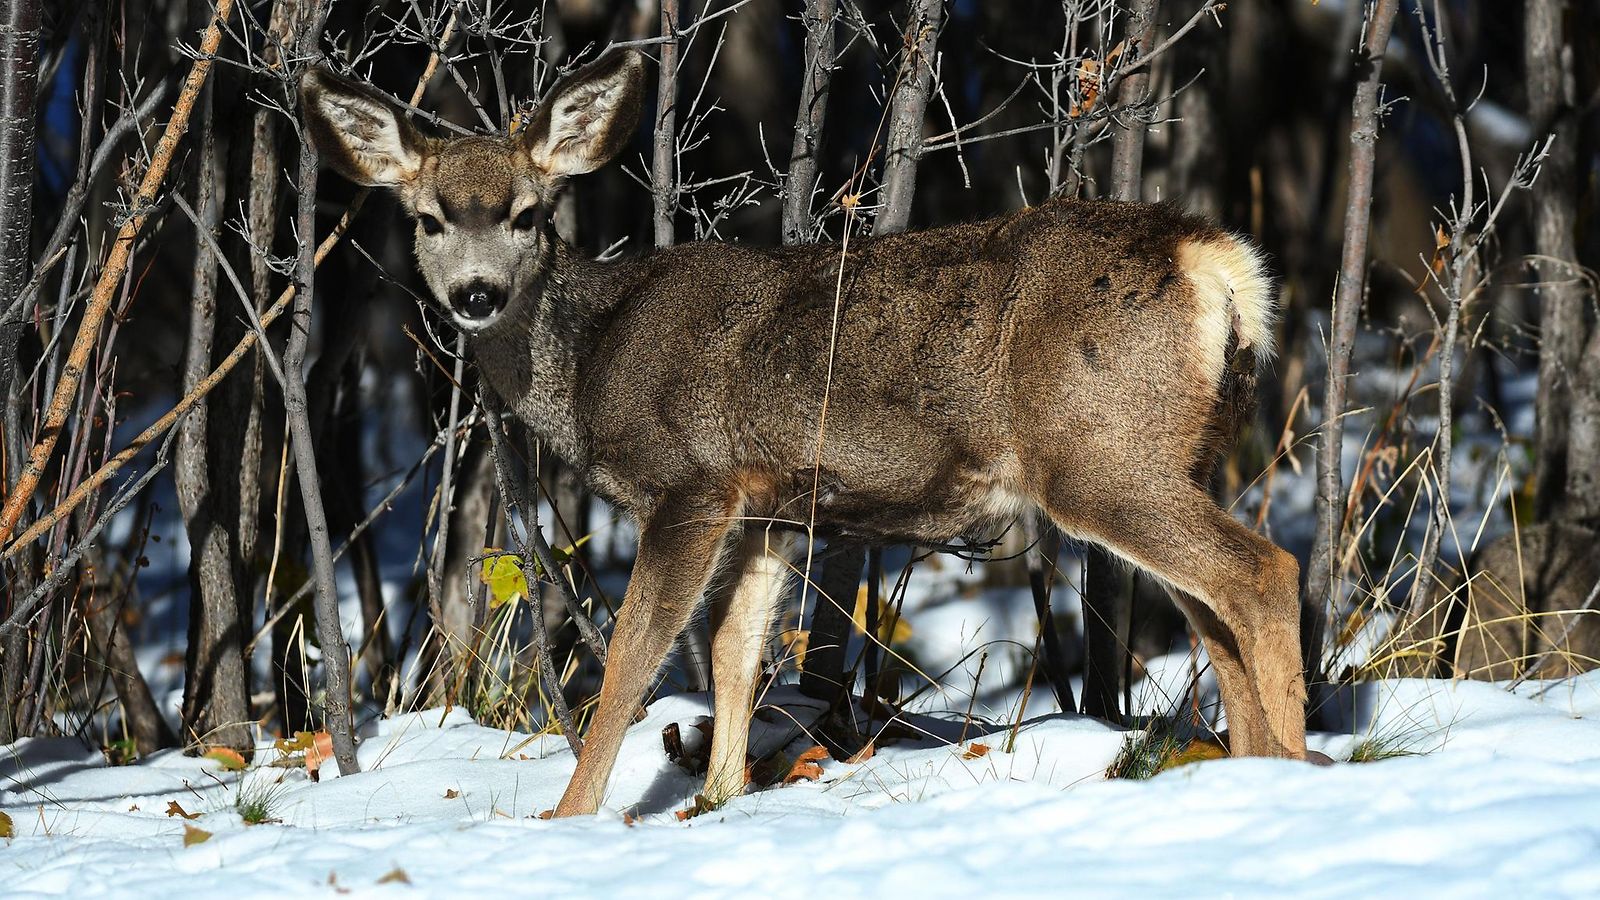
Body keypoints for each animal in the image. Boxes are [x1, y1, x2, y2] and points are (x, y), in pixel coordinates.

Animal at [305, 52, 1305, 816]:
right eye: (428, 219)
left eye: (526, 214)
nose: (476, 294)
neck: (590, 363)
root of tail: (1215, 261)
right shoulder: (772, 510)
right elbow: (733, 657)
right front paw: (715, 800)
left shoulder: (692, 482)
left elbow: (631, 661)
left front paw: (567, 818)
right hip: (1170, 453)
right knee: (1216, 613)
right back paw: (1254, 768)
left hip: (1096, 454)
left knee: (1263, 571)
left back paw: (1290, 771)